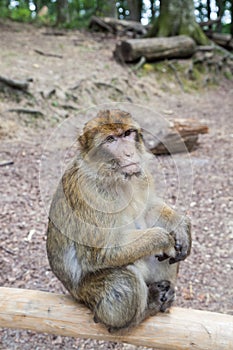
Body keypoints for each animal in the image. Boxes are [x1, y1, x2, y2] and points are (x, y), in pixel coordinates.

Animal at [46, 108, 191, 330]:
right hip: (88, 294)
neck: (114, 177)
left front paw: (181, 228)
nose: (129, 153)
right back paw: (145, 309)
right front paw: (163, 238)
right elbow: (101, 254)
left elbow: (150, 210)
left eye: (127, 134)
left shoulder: (142, 176)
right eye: (110, 139)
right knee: (125, 279)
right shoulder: (90, 194)